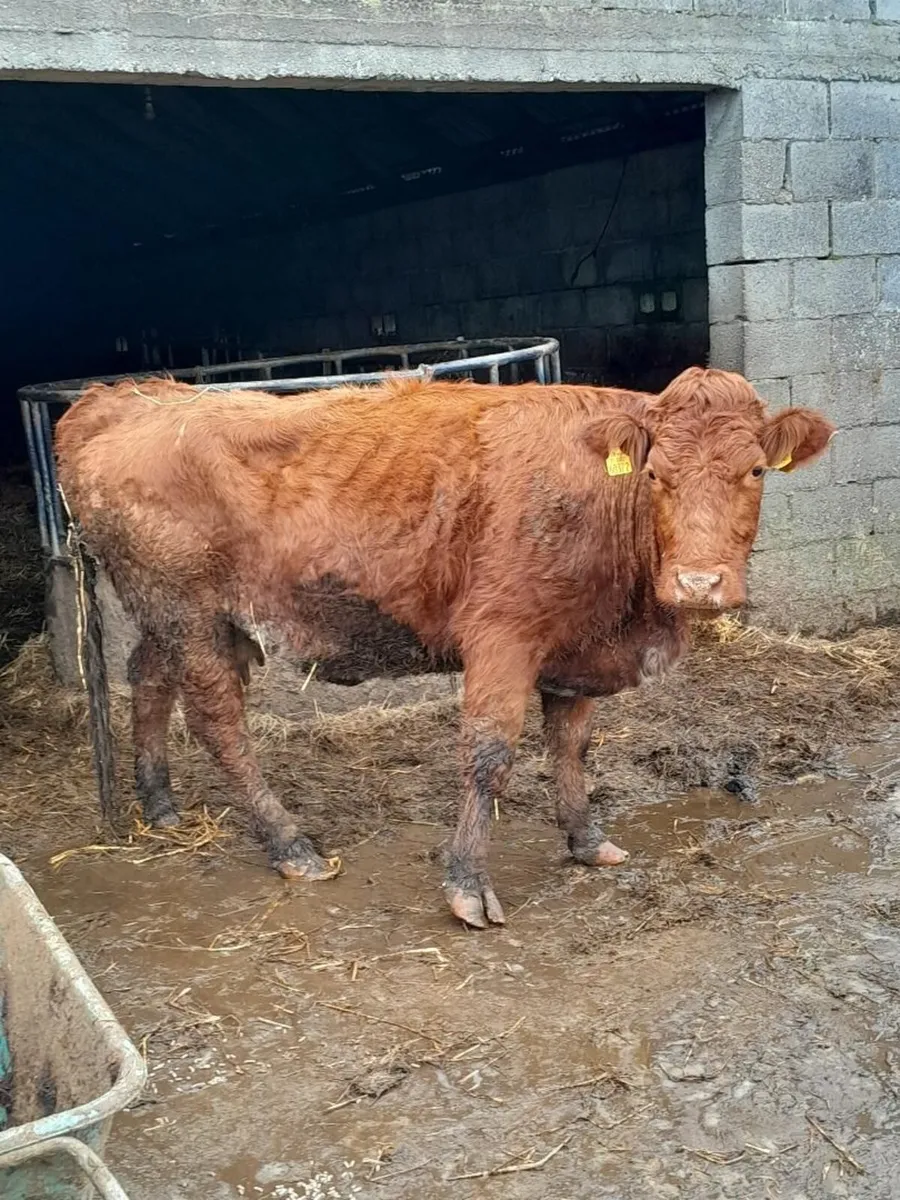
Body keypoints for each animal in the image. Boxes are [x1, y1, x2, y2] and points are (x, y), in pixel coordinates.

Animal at [54, 368, 834, 928]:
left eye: (754, 472)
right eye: (655, 475)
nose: (698, 582)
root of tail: (127, 397)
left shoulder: (576, 649)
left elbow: (571, 747)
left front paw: (585, 841)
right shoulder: (502, 635)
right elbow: (489, 755)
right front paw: (466, 887)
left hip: (167, 614)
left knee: (147, 679)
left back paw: (160, 804)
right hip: (189, 613)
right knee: (219, 723)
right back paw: (290, 845)